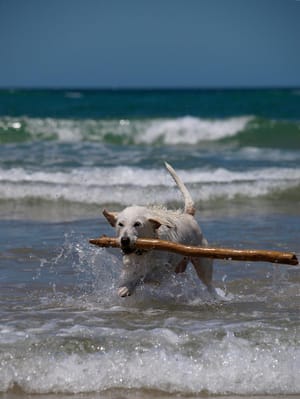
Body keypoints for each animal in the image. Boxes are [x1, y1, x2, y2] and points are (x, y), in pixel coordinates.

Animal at [103, 162, 213, 296]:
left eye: (137, 224)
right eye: (120, 224)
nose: (124, 240)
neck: (144, 252)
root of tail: (188, 215)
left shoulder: (161, 272)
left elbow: (144, 277)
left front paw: (129, 286)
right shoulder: (130, 264)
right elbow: (129, 275)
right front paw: (125, 285)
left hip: (203, 263)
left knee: (209, 283)